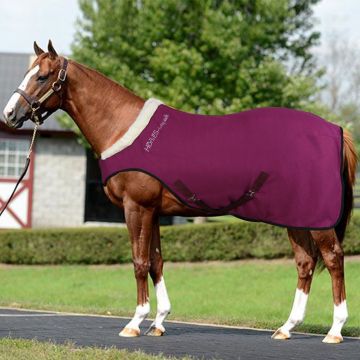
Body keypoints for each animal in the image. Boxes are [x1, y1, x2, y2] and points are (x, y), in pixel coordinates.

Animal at [2, 42, 358, 344]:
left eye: (42, 76)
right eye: (28, 73)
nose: (9, 115)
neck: (122, 126)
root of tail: (335, 130)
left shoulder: (137, 207)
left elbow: (139, 261)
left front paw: (135, 323)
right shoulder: (154, 212)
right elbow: (157, 262)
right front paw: (159, 322)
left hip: (316, 218)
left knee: (333, 258)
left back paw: (335, 330)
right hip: (296, 217)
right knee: (305, 262)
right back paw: (286, 327)